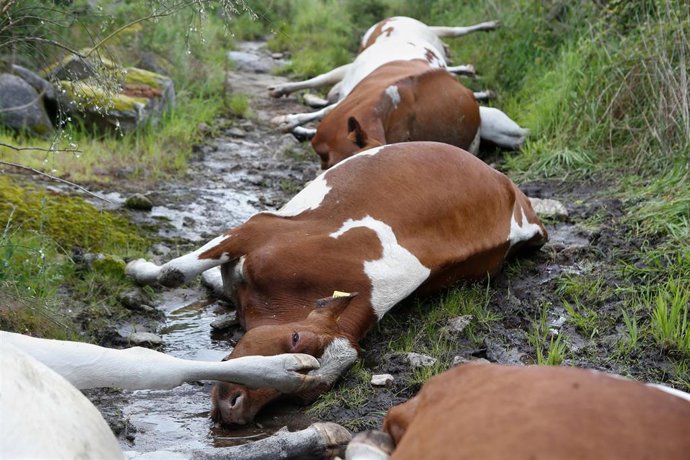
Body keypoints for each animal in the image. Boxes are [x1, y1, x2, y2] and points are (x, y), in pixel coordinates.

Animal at [125, 142, 548, 426]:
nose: (235, 409)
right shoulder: (260, 227)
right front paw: (139, 268)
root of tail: (514, 193)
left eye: (305, 396)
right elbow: (174, 272)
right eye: (296, 338)